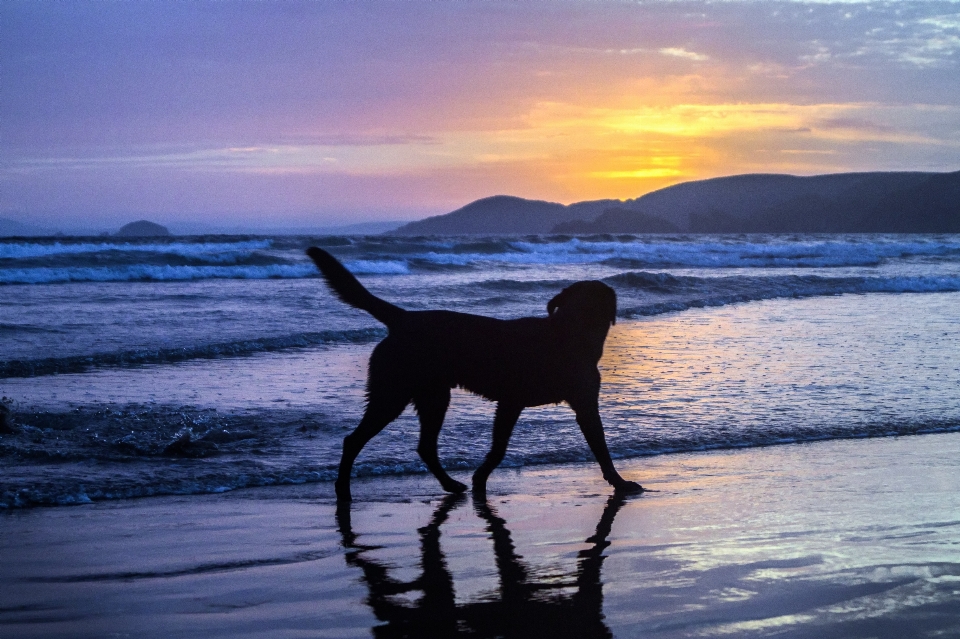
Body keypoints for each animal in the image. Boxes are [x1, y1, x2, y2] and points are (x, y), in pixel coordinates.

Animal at [306, 248, 636, 502]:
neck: (568, 336)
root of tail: (402, 319)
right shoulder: (512, 402)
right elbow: (501, 448)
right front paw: (481, 477)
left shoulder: (580, 403)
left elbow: (599, 446)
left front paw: (619, 483)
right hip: (394, 393)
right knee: (354, 440)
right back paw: (343, 490)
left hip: (432, 396)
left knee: (425, 447)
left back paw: (450, 485)